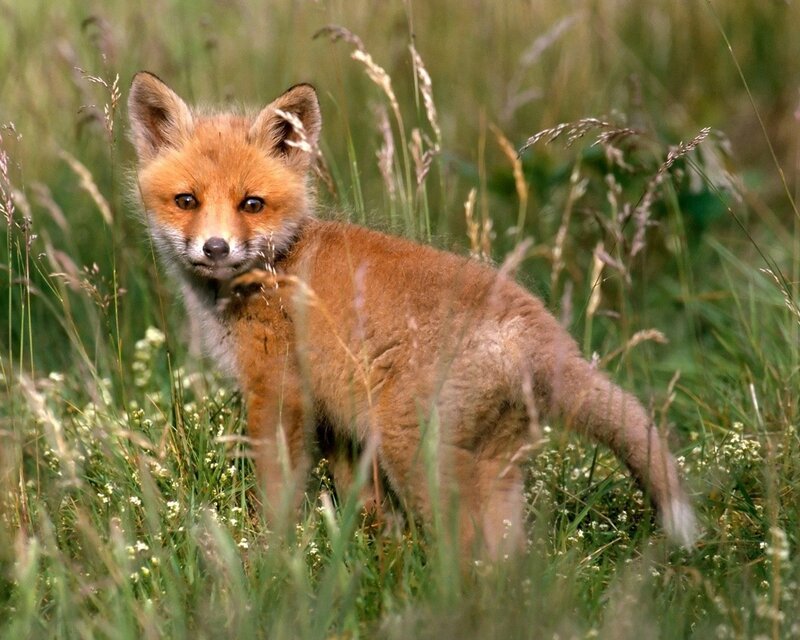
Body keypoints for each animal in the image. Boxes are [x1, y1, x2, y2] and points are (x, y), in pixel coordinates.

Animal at [128, 71, 697, 557]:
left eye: (251, 204)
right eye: (186, 200)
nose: (215, 248)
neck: (277, 265)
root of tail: (539, 328)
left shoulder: (279, 392)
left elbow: (276, 494)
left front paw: (267, 556)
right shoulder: (340, 422)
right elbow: (368, 509)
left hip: (416, 453)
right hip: (493, 466)